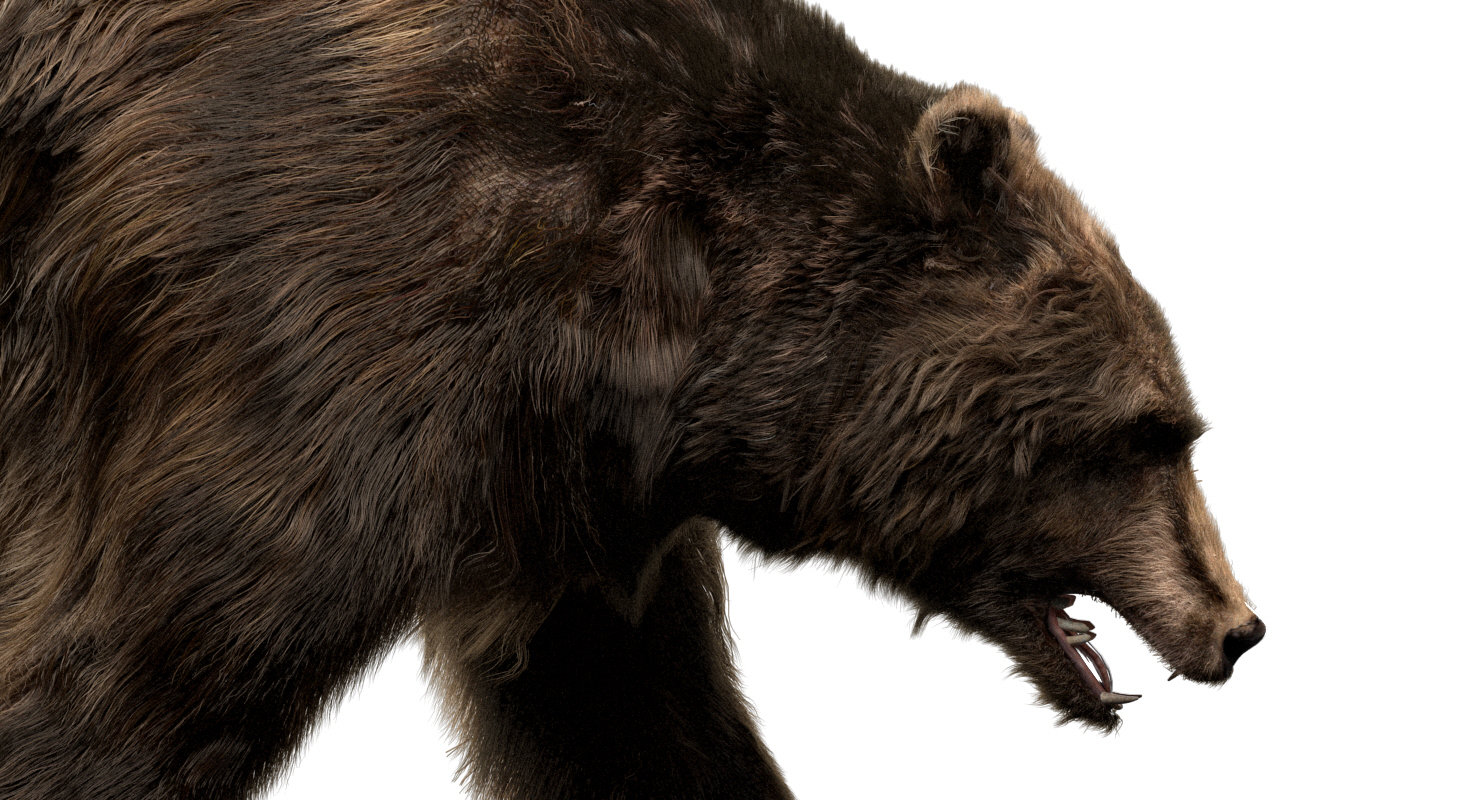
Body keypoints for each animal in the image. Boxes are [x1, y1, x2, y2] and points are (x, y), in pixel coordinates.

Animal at [0, 0, 1264, 798]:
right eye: (1151, 432)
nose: (1237, 625)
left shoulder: (573, 517)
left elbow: (642, 722)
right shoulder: (313, 328)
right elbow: (130, 673)